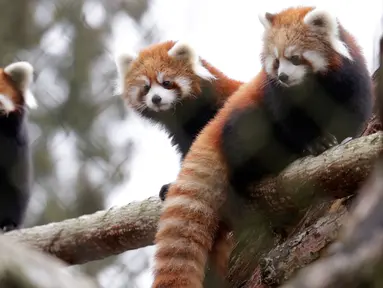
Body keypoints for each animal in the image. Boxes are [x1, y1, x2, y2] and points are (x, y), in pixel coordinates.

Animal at [152, 6, 374, 288]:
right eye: (276, 61)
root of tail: (216, 123)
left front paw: (347, 138)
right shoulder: (277, 96)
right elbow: (292, 124)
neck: (311, 85)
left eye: (295, 58)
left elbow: (352, 114)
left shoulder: (350, 80)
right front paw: (316, 143)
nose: (283, 76)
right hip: (244, 122)